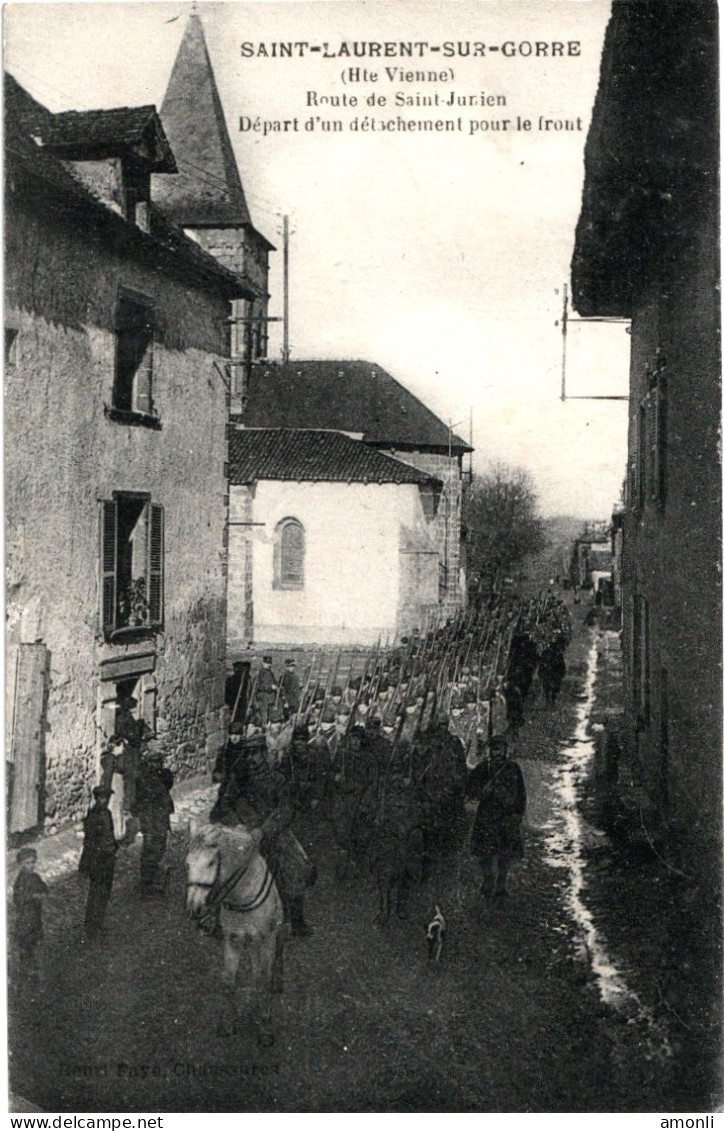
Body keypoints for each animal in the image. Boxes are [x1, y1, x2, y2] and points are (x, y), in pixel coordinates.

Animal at [185, 823, 283, 1040]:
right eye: (187, 864)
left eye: (211, 862)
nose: (195, 908)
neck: (242, 897)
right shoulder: (232, 940)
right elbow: (229, 982)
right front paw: (228, 1025)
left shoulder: (267, 940)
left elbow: (263, 980)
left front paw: (265, 1029)